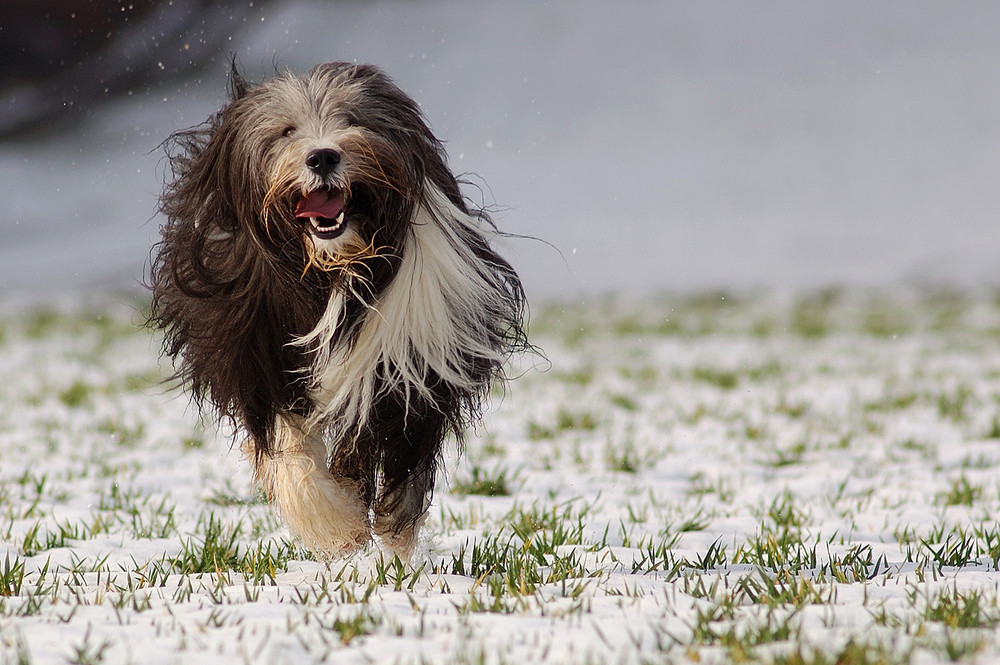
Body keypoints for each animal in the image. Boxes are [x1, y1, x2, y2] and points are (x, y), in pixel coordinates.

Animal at [150, 62, 524, 556]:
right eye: (287, 130)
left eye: (352, 120)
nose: (323, 156)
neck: (329, 267)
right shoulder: (253, 353)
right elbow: (289, 447)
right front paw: (336, 524)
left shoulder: (413, 355)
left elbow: (399, 450)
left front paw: (392, 531)